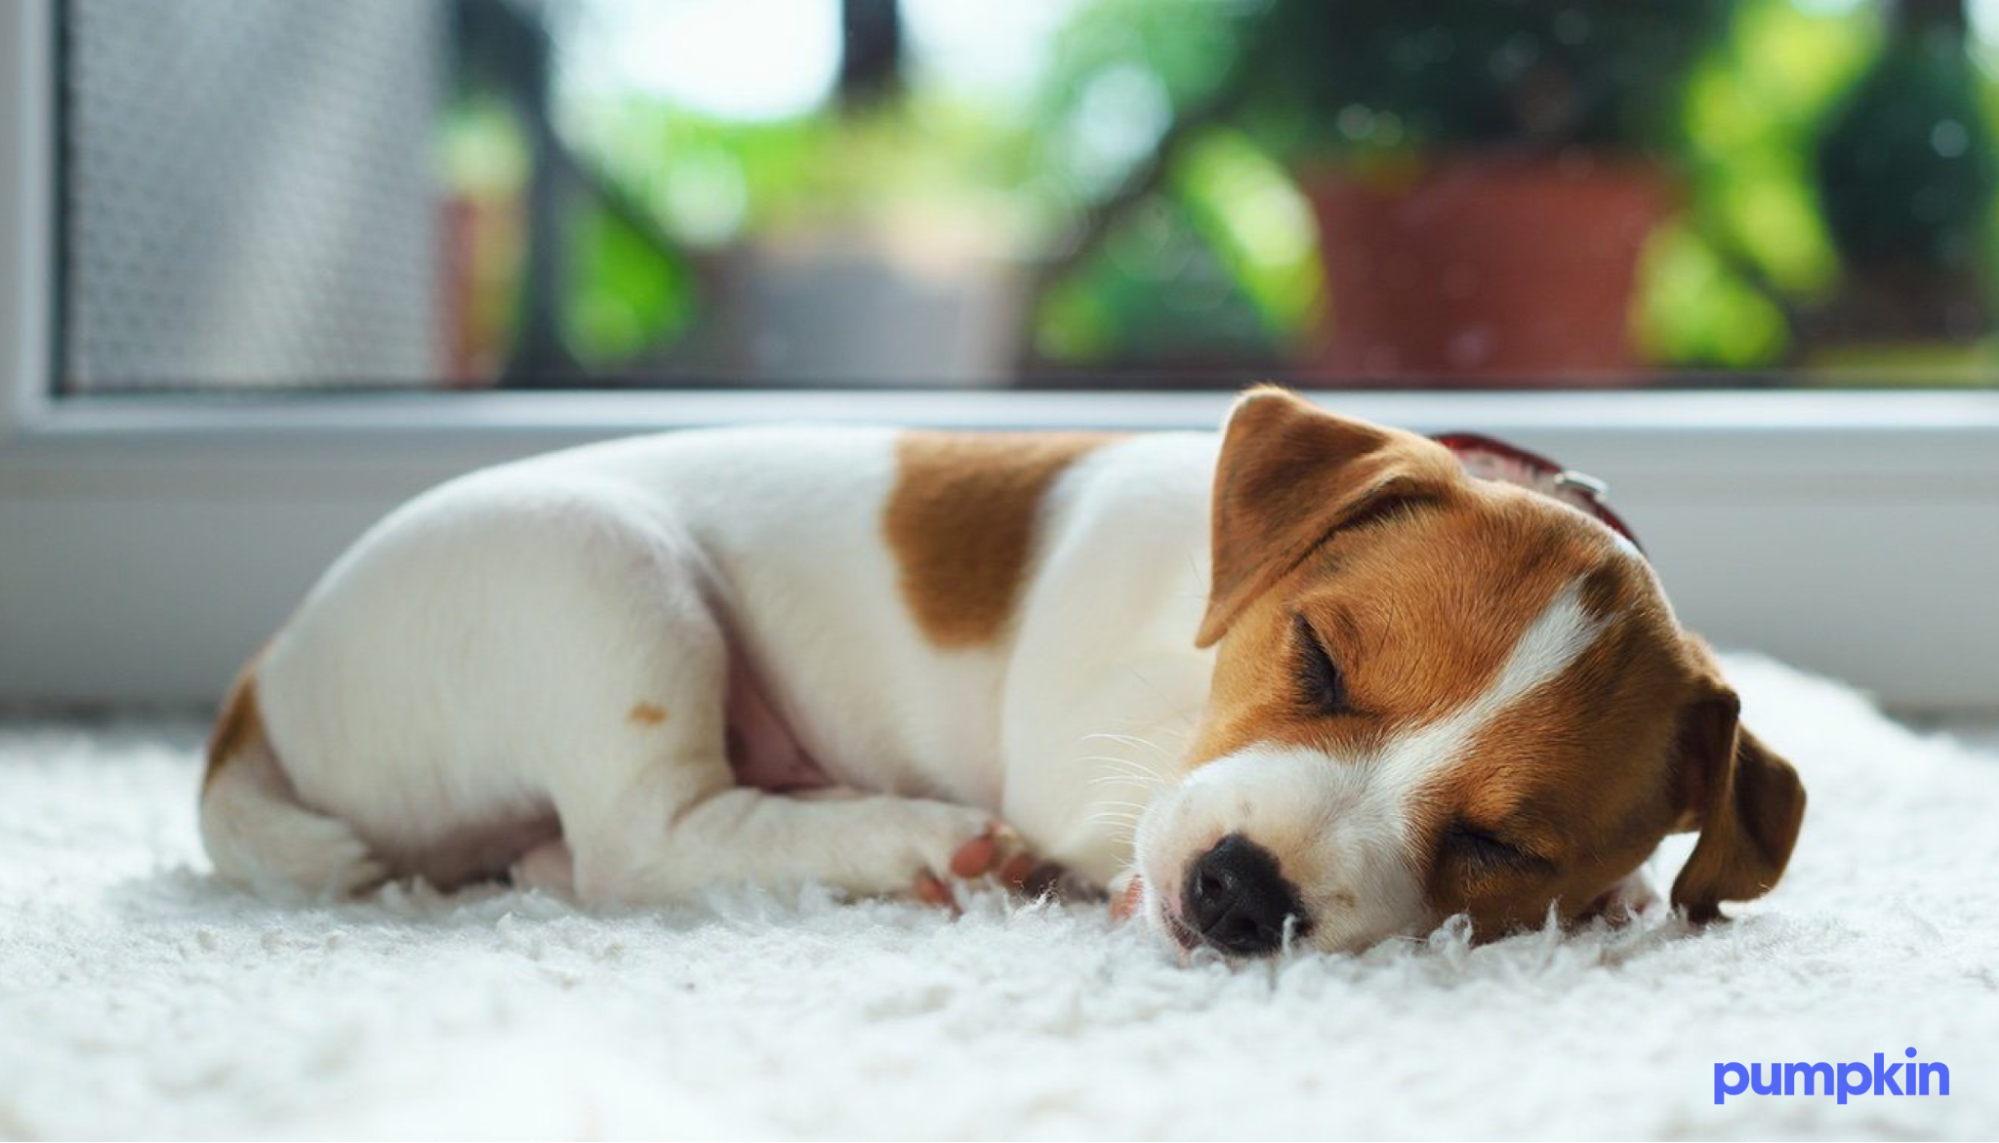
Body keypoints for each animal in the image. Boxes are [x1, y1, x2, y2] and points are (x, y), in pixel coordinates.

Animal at [194, 387, 1807, 951]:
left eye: (1501, 844)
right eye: (1316, 655)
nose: (1237, 894)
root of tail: (260, 679)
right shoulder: (1093, 757)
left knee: (566, 856)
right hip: (603, 580)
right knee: (642, 841)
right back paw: (915, 840)